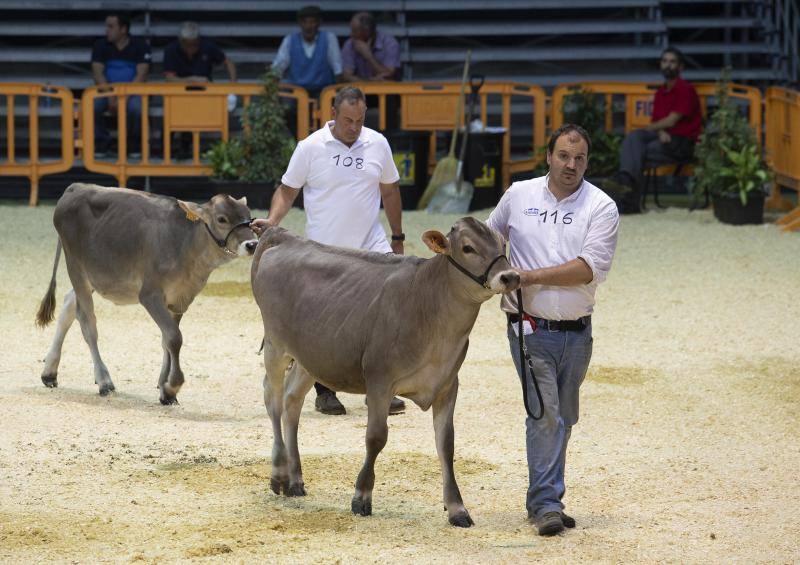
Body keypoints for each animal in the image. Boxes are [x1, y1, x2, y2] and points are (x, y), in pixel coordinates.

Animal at [35, 183, 258, 405]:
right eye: (222, 219)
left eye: (249, 217)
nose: (252, 244)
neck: (185, 243)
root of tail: (76, 187)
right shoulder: (150, 295)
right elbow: (174, 337)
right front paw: (173, 385)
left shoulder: (180, 298)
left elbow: (167, 339)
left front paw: (165, 388)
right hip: (76, 267)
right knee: (87, 322)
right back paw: (104, 380)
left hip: (95, 276)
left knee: (68, 306)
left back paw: (49, 372)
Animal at [250, 217, 521, 527]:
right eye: (468, 248)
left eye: (502, 243)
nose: (510, 277)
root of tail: (285, 236)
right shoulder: (379, 380)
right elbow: (376, 437)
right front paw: (361, 497)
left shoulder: (447, 384)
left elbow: (446, 444)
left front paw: (457, 509)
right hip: (276, 345)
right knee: (273, 400)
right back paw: (279, 475)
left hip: (312, 356)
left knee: (291, 402)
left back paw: (295, 480)